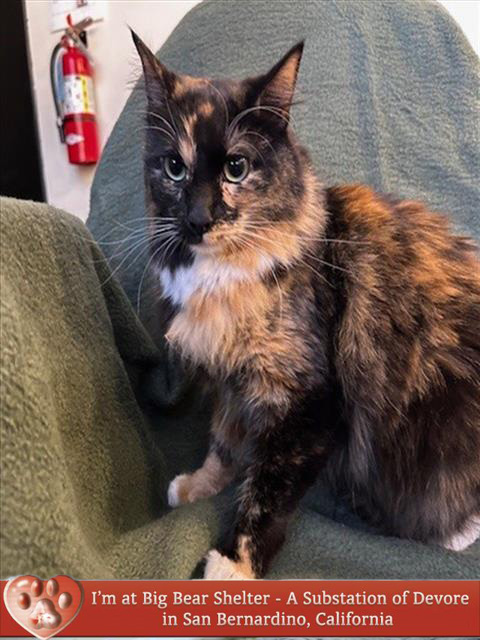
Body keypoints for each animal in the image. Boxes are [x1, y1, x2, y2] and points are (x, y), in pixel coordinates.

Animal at [132, 31, 480, 579]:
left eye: (236, 168)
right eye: (174, 167)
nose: (198, 219)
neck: (222, 276)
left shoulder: (307, 401)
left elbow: (266, 492)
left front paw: (233, 565)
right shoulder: (233, 384)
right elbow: (223, 443)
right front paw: (198, 486)